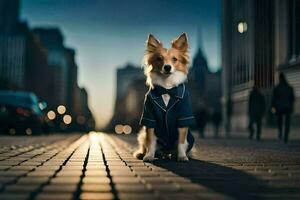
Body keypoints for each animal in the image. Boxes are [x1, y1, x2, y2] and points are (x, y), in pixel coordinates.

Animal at [134, 32, 196, 162]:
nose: (167, 67)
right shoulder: (150, 119)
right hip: (142, 134)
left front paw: (182, 156)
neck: (167, 88)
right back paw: (143, 154)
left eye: (174, 59)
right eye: (159, 59)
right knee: (146, 145)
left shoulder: (183, 118)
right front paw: (149, 156)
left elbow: (181, 143)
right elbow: (151, 142)